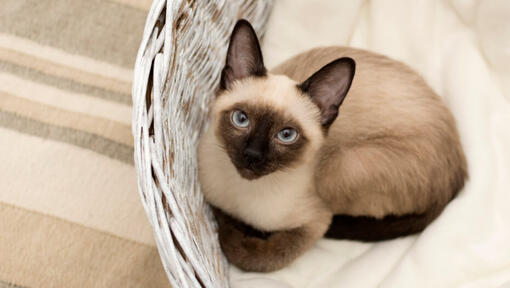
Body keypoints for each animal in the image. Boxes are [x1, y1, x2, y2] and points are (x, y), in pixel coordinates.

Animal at [197, 20, 468, 272]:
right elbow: (225, 221)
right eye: (241, 119)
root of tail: (457, 178)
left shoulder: (315, 223)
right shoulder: (213, 198)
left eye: (286, 135)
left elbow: (257, 257)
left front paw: (246, 238)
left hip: (342, 167)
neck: (241, 196)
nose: (252, 155)